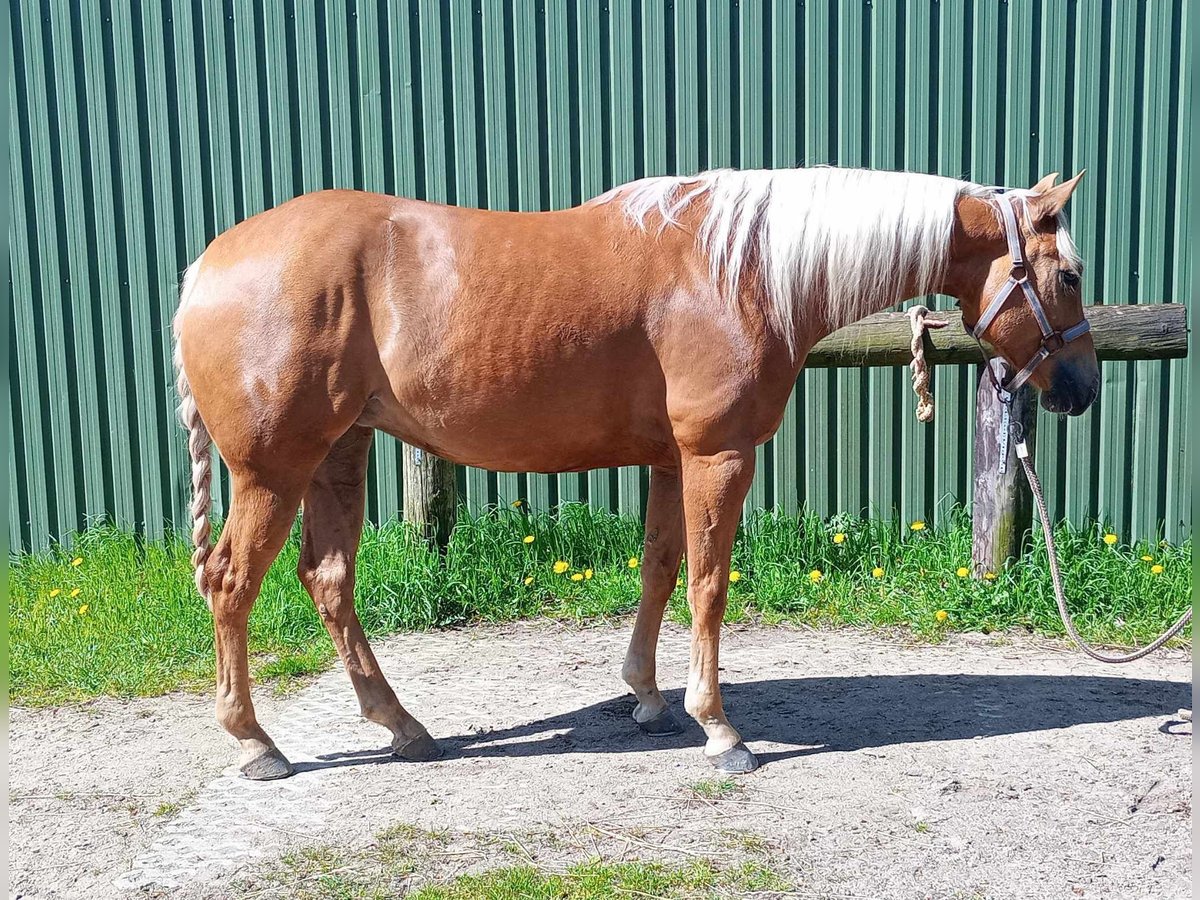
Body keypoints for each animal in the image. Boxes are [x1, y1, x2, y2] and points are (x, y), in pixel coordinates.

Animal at [171, 164, 1099, 782]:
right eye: (1069, 272)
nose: (1083, 389)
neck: (741, 269)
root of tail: (206, 266)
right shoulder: (719, 454)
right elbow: (709, 584)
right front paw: (719, 731)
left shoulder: (668, 461)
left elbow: (658, 570)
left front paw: (648, 698)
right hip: (274, 470)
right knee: (230, 583)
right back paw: (257, 744)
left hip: (339, 453)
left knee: (328, 580)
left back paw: (402, 726)